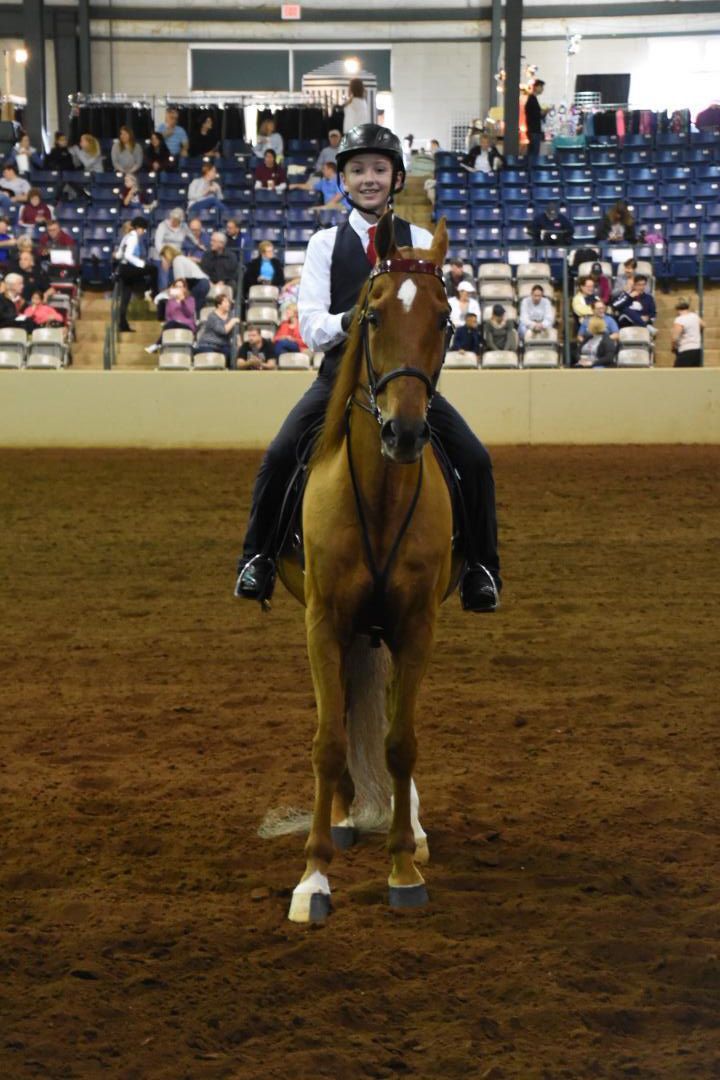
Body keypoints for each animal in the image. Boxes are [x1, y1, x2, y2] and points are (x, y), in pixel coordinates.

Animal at [274, 211, 462, 922]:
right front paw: (313, 877)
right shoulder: (324, 621)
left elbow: (400, 741)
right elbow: (328, 742)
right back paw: (346, 816)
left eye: (445, 319)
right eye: (373, 316)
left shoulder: (416, 627)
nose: (404, 434)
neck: (380, 497)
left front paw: (404, 866)